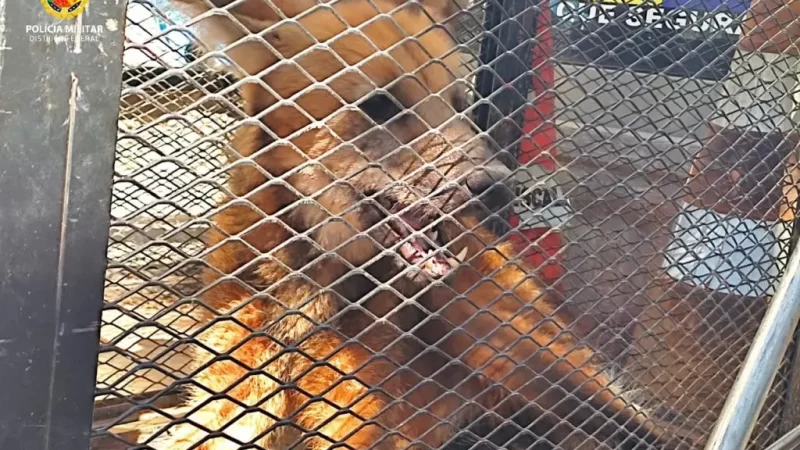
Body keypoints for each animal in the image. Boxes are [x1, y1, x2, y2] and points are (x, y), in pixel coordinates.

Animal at [159, 0, 692, 448]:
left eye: (460, 104)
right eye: (380, 105)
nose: (500, 187)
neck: (309, 300)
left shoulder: (365, 426)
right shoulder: (226, 399)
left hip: (511, 347)